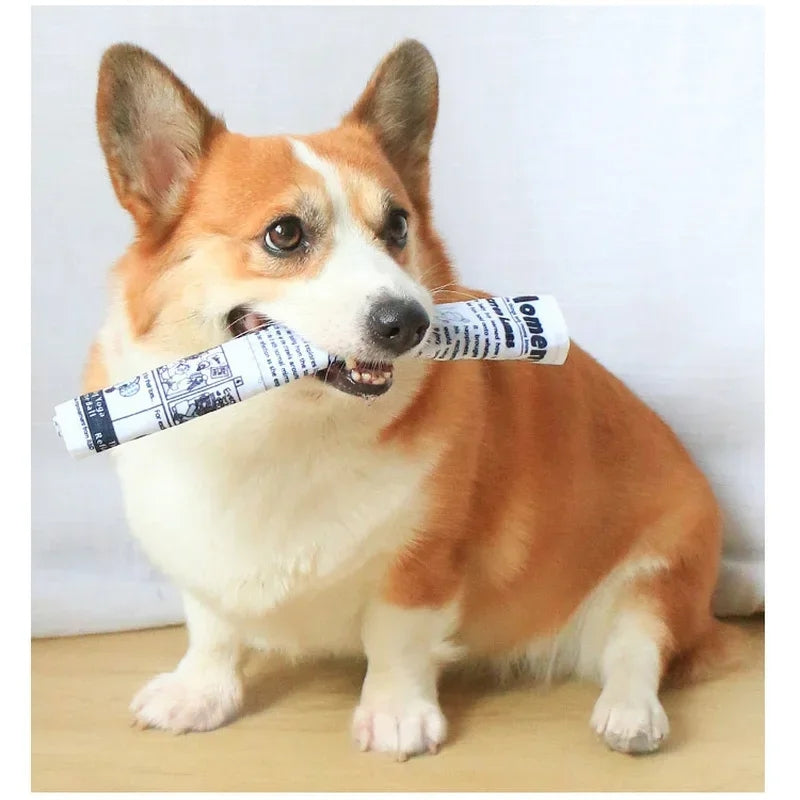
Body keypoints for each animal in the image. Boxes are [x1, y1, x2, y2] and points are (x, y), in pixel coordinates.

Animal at [86, 40, 732, 760]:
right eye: (285, 234)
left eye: (397, 225)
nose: (410, 322)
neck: (284, 426)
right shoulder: (197, 560)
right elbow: (212, 629)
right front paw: (199, 693)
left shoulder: (423, 562)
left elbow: (395, 640)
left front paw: (396, 715)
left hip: (656, 577)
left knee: (636, 650)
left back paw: (629, 714)